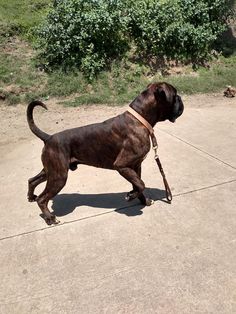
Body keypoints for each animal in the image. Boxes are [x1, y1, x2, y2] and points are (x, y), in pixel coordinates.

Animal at [27, 82, 184, 224]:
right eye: (175, 95)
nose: (181, 98)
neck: (139, 119)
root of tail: (48, 138)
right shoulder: (122, 165)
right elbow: (141, 184)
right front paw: (131, 196)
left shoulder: (135, 166)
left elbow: (138, 184)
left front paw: (141, 199)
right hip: (59, 176)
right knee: (42, 198)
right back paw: (50, 218)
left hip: (51, 171)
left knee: (32, 180)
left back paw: (31, 197)